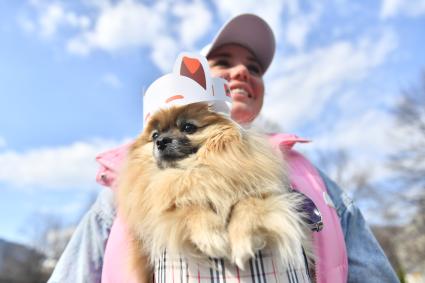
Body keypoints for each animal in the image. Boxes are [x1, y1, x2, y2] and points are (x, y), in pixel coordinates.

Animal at [116, 102, 308, 282]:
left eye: (188, 127)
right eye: (155, 135)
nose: (161, 141)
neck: (192, 171)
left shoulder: (266, 195)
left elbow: (247, 203)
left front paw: (242, 241)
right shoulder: (160, 213)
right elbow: (188, 206)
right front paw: (212, 237)